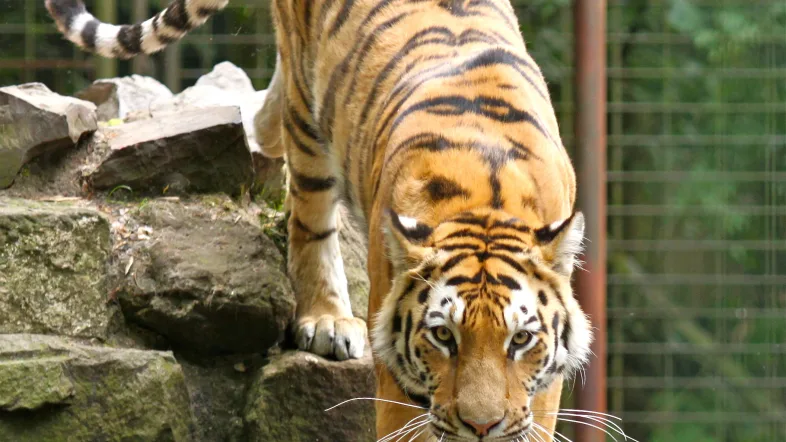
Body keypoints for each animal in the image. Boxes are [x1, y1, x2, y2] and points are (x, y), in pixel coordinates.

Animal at [45, 0, 594, 440]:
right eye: (443, 336)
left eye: (520, 340)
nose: (481, 426)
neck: (485, 203)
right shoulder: (397, 366)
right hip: (309, 123)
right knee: (308, 218)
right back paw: (327, 319)